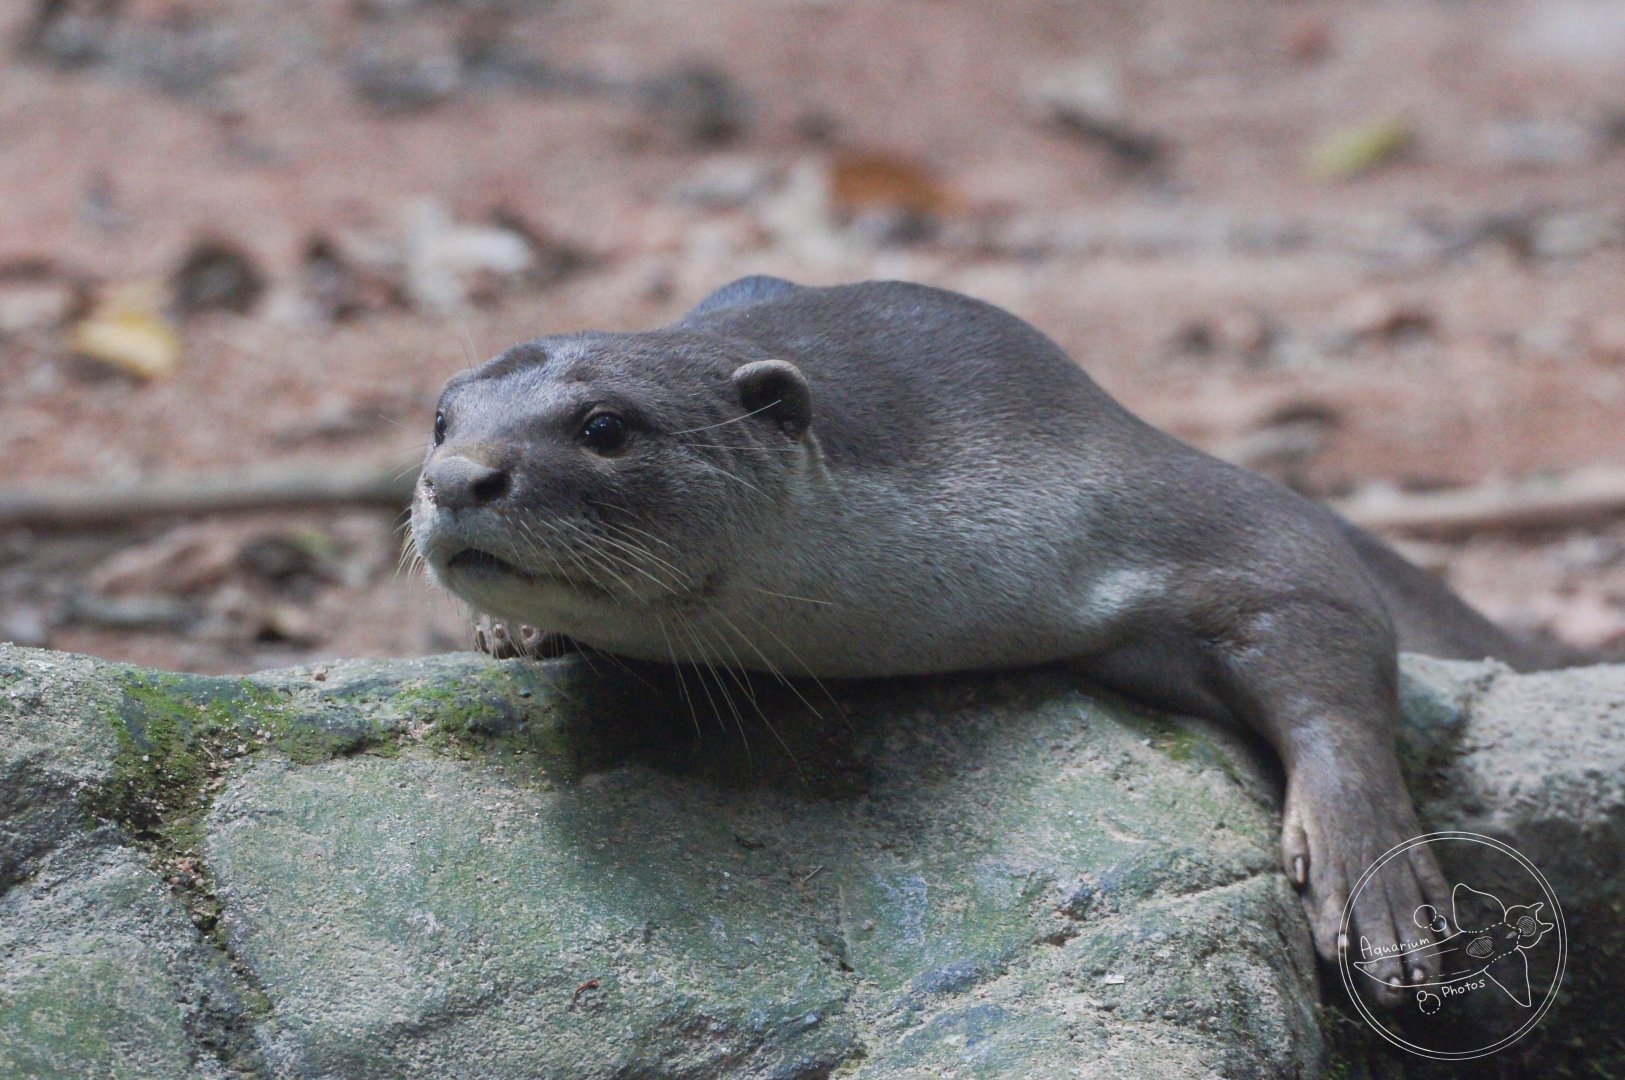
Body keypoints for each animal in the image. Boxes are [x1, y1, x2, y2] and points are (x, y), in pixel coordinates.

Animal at [411, 276, 1565, 1004]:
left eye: (603, 427)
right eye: (439, 418)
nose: (455, 478)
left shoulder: (1115, 477)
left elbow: (1318, 585)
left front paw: (1375, 880)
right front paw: (514, 626)